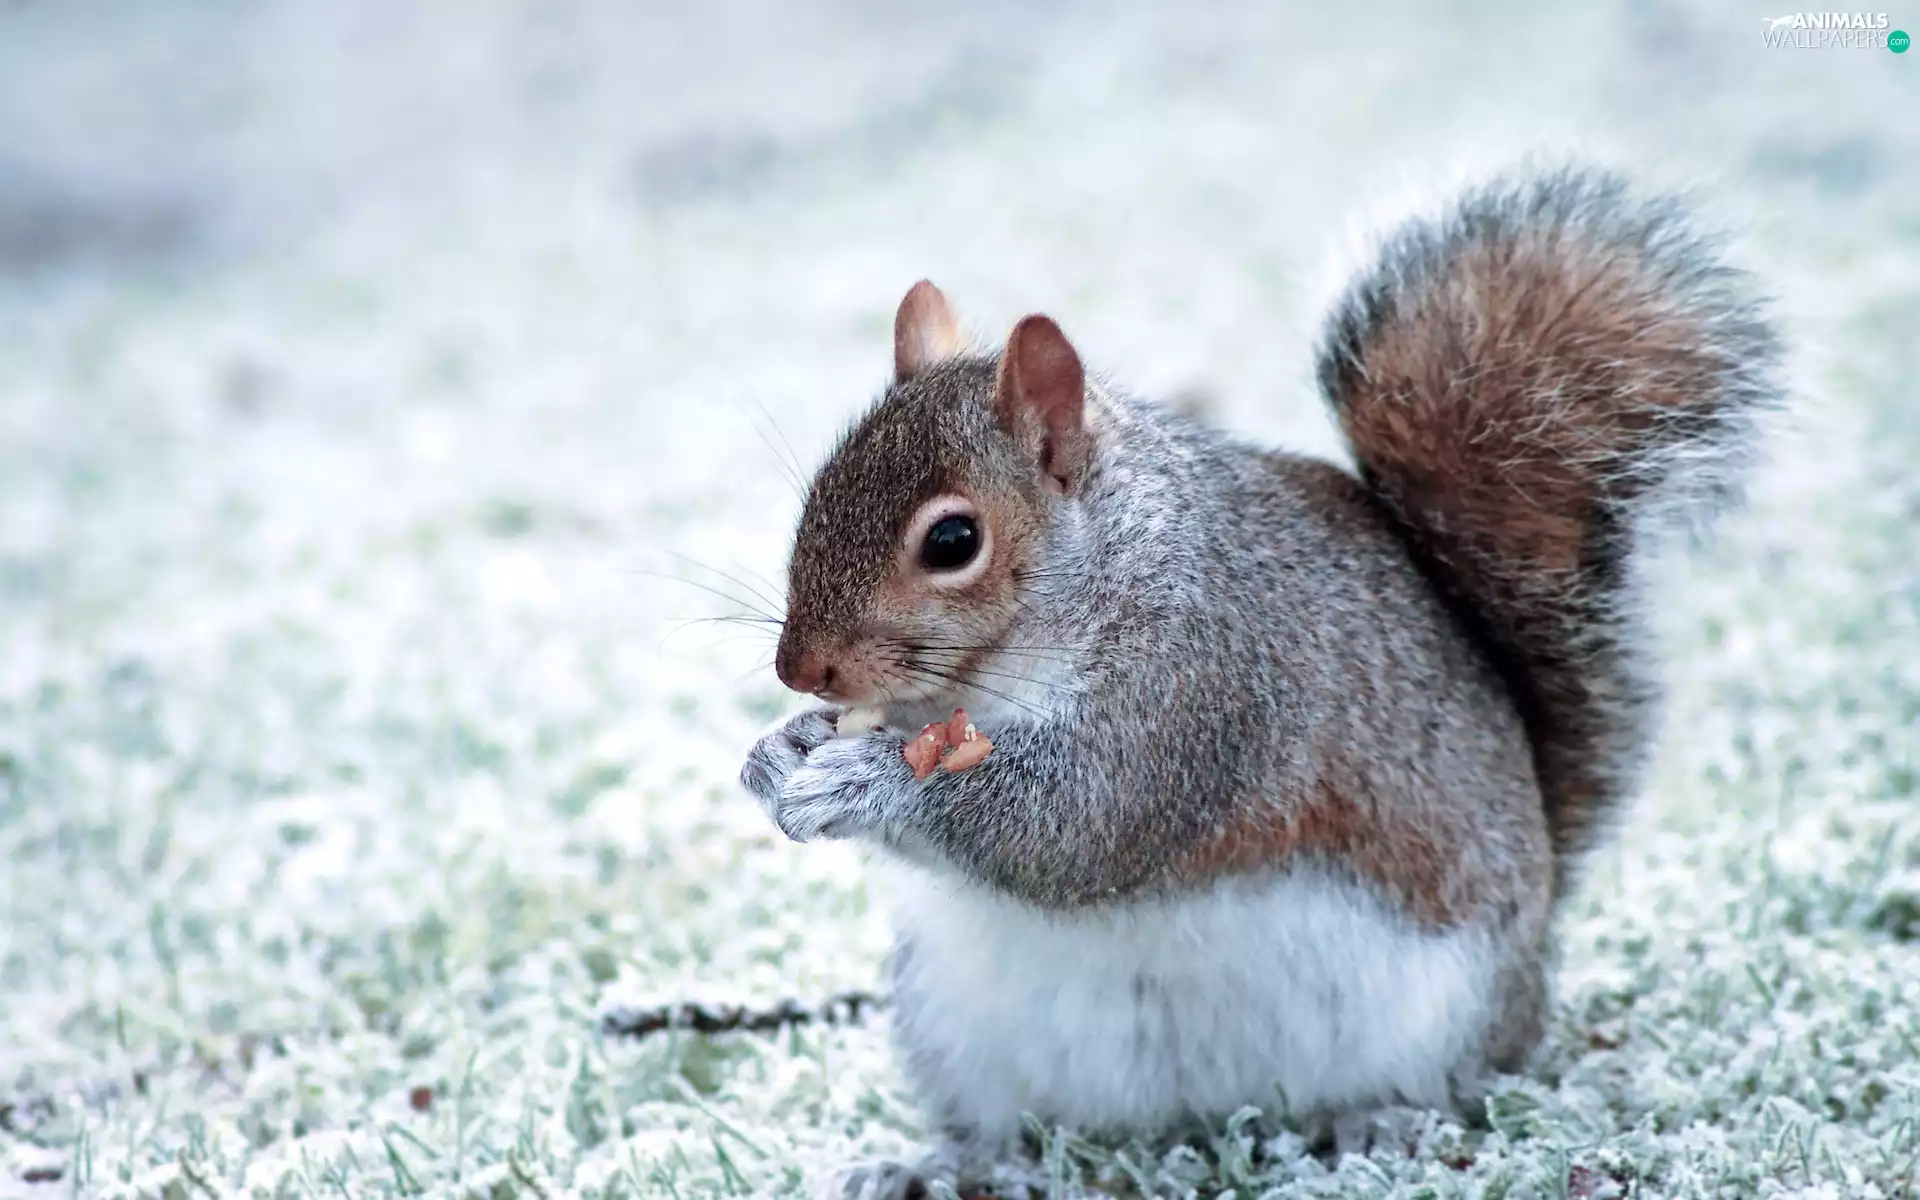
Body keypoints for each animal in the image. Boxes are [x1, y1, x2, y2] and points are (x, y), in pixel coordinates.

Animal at [738, 167, 1780, 1194]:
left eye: (953, 540)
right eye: (817, 492)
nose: (800, 669)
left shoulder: (1210, 686)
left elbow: (1075, 824)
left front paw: (867, 780)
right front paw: (779, 754)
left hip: (1441, 1013)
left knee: (1455, 1085)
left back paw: (1381, 1122)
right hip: (956, 1023)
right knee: (1011, 1129)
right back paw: (943, 1165)